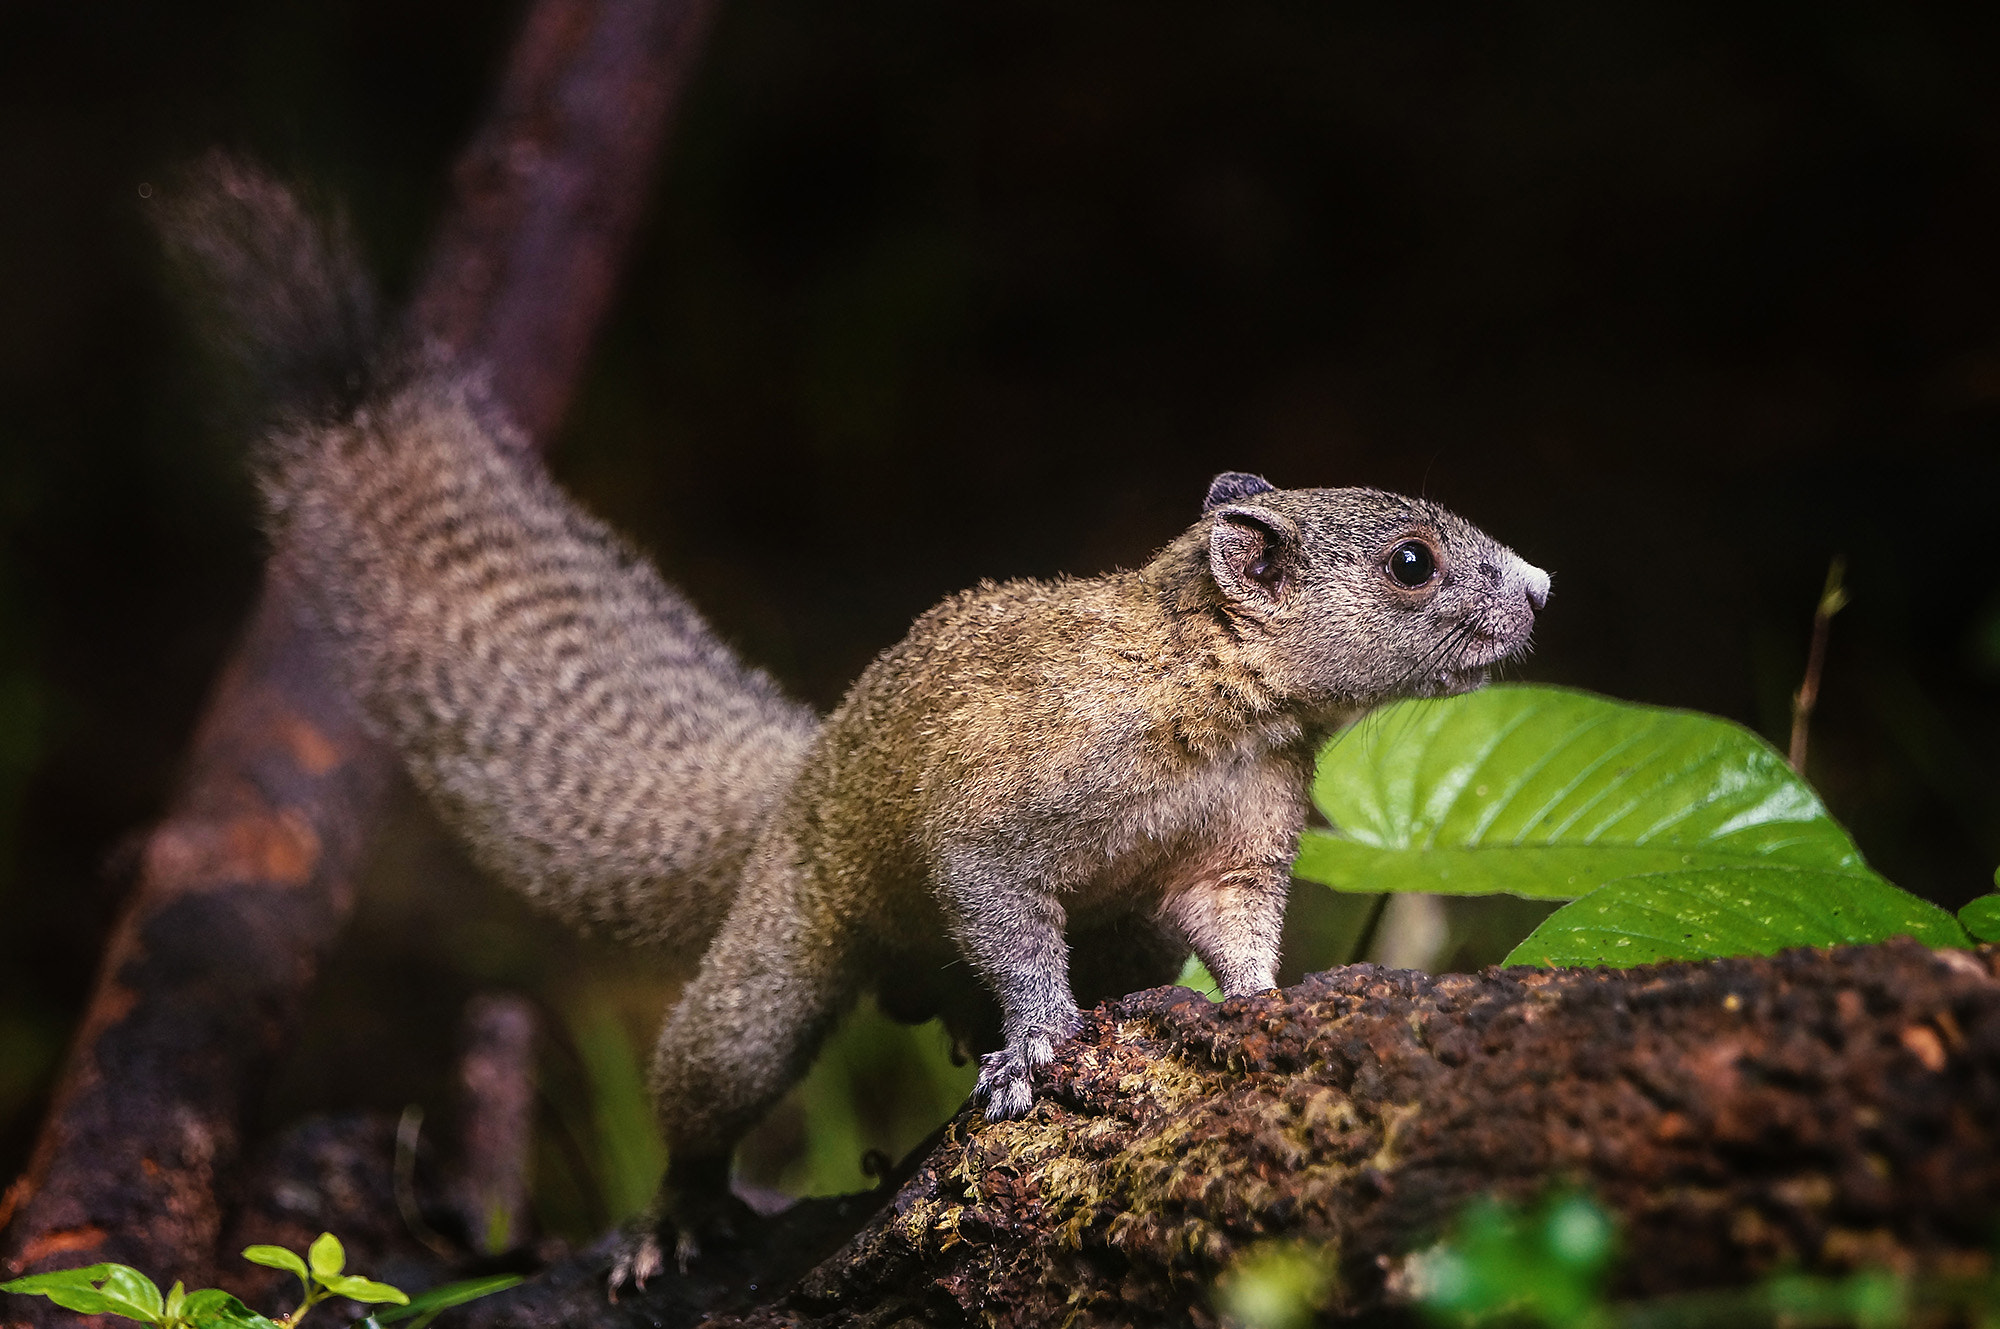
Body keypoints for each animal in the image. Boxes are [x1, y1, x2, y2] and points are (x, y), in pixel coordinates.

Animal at [164, 156, 1552, 1288]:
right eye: (1413, 561)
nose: (1540, 585)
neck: (1207, 712)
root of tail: (800, 773)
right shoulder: (999, 814)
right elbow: (1004, 918)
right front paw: (1033, 1045)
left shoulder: (1238, 852)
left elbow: (1241, 940)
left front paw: (1267, 1007)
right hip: (766, 980)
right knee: (706, 1093)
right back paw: (676, 1220)